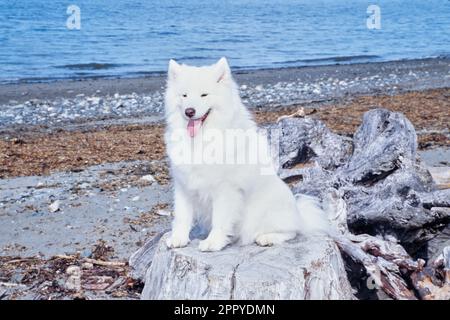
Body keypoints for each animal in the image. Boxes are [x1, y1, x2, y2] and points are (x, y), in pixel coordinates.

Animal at [163, 58, 326, 252]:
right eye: (184, 95)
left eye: (204, 95)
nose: (189, 111)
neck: (201, 139)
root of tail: (300, 215)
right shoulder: (183, 185)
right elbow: (182, 216)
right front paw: (178, 238)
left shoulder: (226, 189)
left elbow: (220, 220)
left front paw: (213, 242)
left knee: (292, 231)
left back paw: (267, 237)